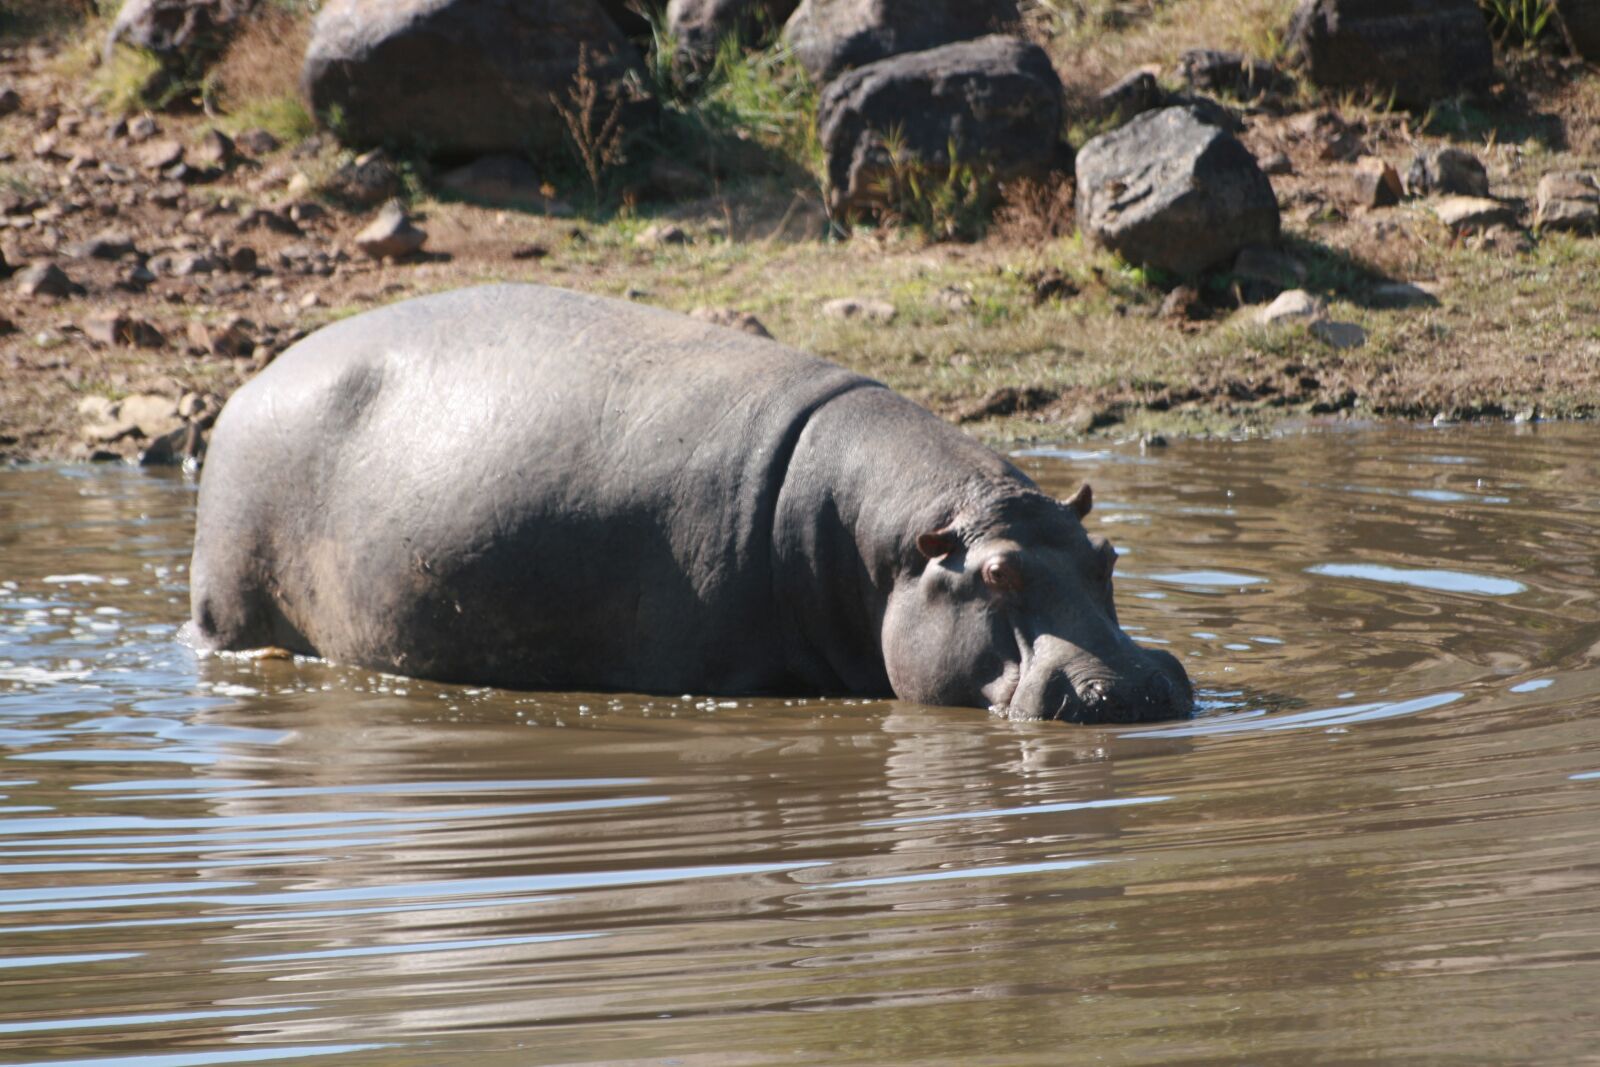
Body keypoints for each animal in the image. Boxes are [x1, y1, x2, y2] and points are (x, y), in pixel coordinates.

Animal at [187, 284, 1192, 723]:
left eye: (1107, 559)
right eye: (997, 573)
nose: (1137, 686)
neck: (894, 548)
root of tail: (246, 390)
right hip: (229, 602)